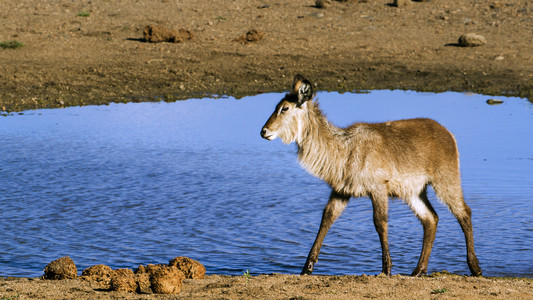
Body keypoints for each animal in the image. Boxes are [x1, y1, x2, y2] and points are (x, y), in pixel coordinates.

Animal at [260, 74, 480, 276]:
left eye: (284, 108)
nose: (264, 131)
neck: (344, 150)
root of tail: (448, 133)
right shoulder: (341, 191)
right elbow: (327, 218)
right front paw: (307, 268)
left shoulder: (378, 188)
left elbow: (380, 223)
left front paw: (386, 269)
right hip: (413, 191)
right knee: (431, 219)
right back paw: (418, 270)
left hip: (445, 179)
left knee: (464, 213)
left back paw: (475, 268)